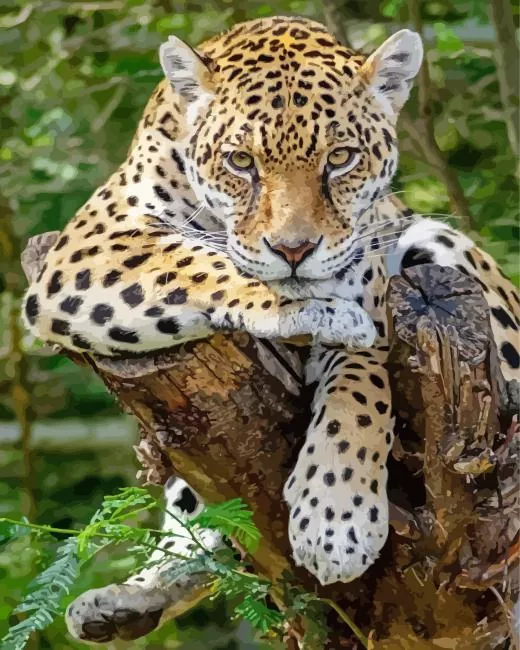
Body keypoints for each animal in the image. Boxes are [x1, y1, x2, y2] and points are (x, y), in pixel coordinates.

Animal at [21, 15, 519, 644]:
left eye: (341, 158)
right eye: (240, 162)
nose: (294, 249)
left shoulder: (375, 298)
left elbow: (361, 393)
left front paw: (336, 517)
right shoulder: (94, 242)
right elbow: (201, 261)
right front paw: (305, 306)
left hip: (438, 245)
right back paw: (127, 601)